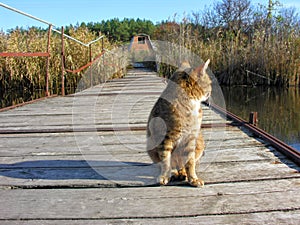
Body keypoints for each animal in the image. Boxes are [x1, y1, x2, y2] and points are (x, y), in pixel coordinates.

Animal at [146, 59, 211, 187]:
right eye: (210, 83)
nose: (211, 91)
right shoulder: (165, 138)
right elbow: (166, 160)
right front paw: (164, 176)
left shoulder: (191, 138)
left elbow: (190, 162)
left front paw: (193, 178)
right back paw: (175, 173)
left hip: (200, 143)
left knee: (182, 165)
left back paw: (182, 173)